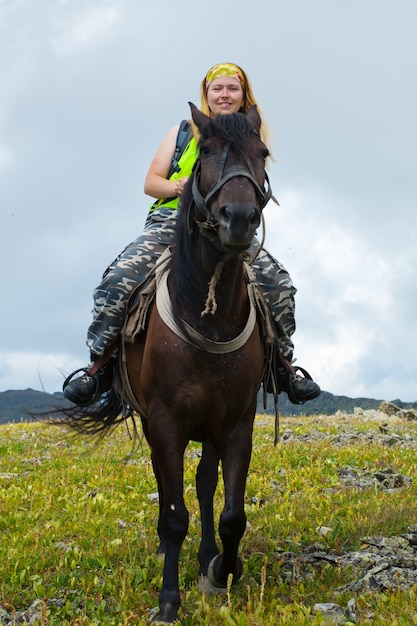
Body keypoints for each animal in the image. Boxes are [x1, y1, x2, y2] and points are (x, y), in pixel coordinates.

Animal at [67, 102, 274, 620]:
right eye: (207, 152)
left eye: (262, 153)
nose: (239, 219)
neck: (207, 317)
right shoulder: (164, 421)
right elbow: (174, 515)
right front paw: (168, 601)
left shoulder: (236, 423)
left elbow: (231, 513)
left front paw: (221, 571)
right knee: (168, 487)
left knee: (202, 486)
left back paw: (206, 557)